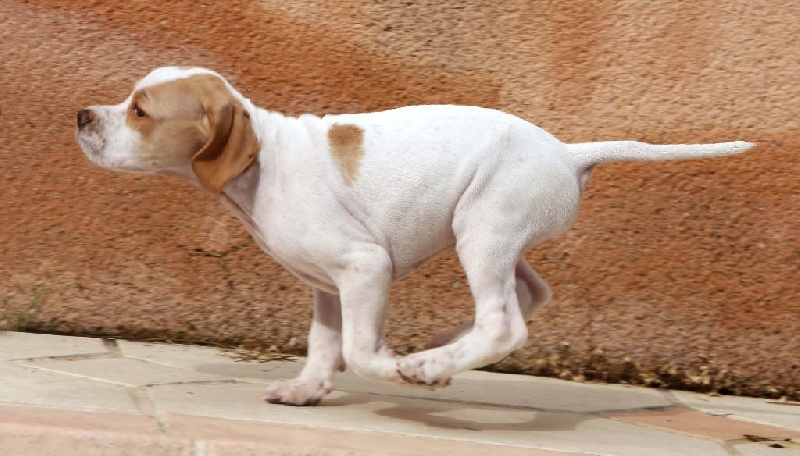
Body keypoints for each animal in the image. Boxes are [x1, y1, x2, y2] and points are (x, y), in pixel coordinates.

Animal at [75, 66, 753, 405]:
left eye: (139, 110)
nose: (81, 115)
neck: (262, 159)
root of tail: (567, 152)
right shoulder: (329, 286)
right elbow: (325, 343)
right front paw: (308, 389)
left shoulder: (364, 267)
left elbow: (360, 351)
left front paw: (395, 370)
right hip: (490, 232)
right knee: (528, 296)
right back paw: (441, 349)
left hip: (483, 229)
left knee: (504, 323)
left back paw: (428, 365)